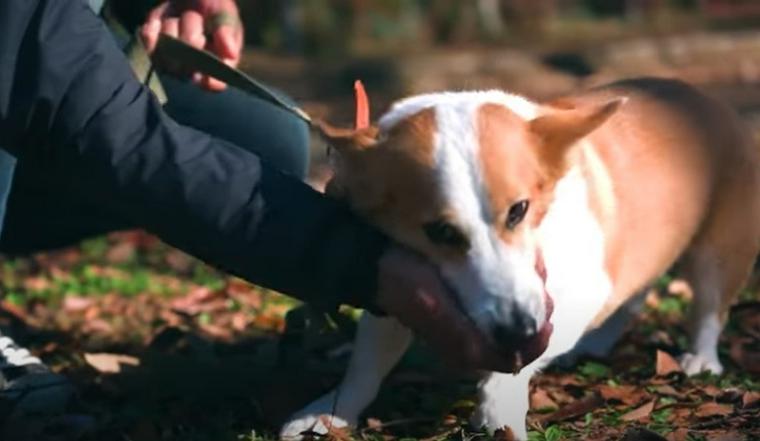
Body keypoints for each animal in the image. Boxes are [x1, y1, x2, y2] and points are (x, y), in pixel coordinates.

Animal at [280, 77, 760, 438]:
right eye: (440, 232)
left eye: (519, 210)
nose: (518, 330)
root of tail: (705, 98)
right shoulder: (395, 281)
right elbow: (366, 365)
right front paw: (329, 412)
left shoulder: (579, 290)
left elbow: (513, 372)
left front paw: (500, 408)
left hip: (716, 254)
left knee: (709, 306)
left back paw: (700, 359)